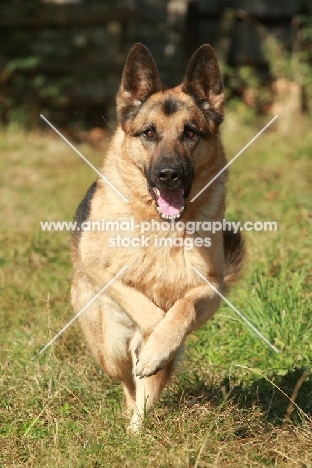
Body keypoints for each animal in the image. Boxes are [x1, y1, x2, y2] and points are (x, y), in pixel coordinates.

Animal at [71, 44, 244, 432]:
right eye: (149, 133)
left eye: (190, 133)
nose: (168, 175)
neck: (161, 227)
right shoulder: (100, 270)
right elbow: (145, 308)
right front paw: (153, 338)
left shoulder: (210, 289)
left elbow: (182, 309)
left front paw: (162, 343)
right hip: (109, 349)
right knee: (127, 379)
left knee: (146, 391)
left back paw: (139, 425)